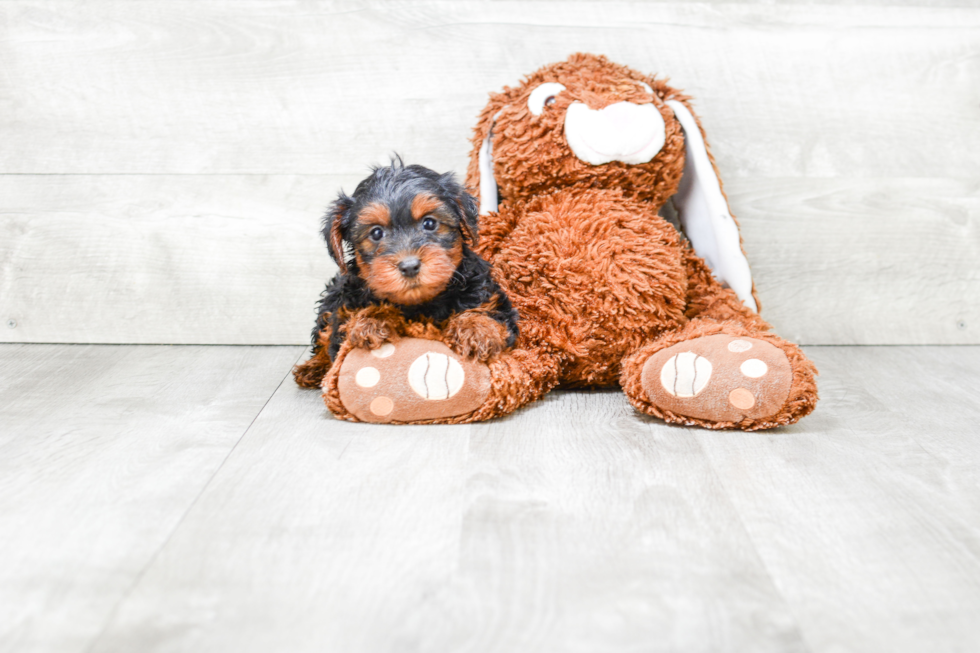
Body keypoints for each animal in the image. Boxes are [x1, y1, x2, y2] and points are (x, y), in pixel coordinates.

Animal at [292, 158, 516, 388]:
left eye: (429, 223)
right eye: (376, 233)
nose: (409, 266)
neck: (418, 303)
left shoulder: (487, 293)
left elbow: (488, 311)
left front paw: (476, 328)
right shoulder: (345, 307)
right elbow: (341, 336)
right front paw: (371, 319)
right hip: (331, 299)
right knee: (323, 335)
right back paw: (313, 367)